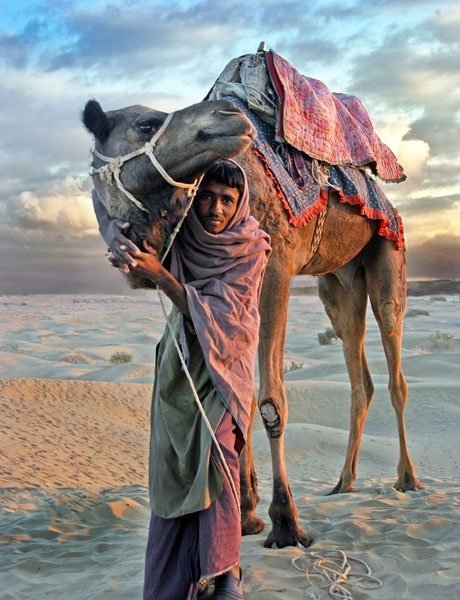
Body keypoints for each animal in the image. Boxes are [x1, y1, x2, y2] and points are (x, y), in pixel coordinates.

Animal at [83, 81, 424, 548]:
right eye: (146, 125)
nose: (230, 116)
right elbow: (235, 389)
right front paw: (245, 513)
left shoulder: (275, 264)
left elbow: (269, 401)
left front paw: (285, 522)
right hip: (337, 282)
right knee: (359, 374)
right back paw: (344, 482)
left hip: (388, 248)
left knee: (395, 365)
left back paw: (407, 479)